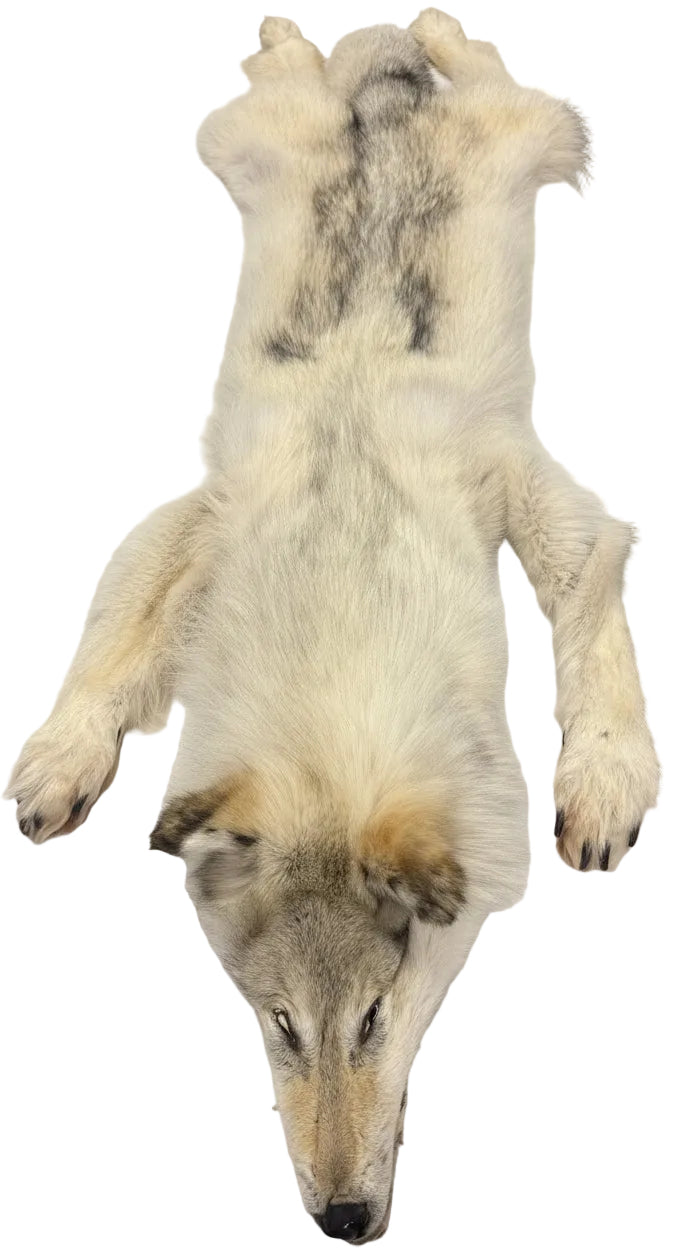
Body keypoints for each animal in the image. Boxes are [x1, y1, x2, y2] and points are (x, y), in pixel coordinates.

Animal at [7, 11, 659, 1242]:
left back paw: (419, 30)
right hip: (238, 140)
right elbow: (110, 648)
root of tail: (378, 90)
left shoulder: (536, 496)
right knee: (305, 67)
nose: (344, 1220)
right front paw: (60, 765)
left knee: (480, 60)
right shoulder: (201, 513)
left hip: (515, 130)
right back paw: (306, 35)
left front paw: (603, 781)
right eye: (279, 1026)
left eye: (370, 1019)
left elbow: (588, 615)